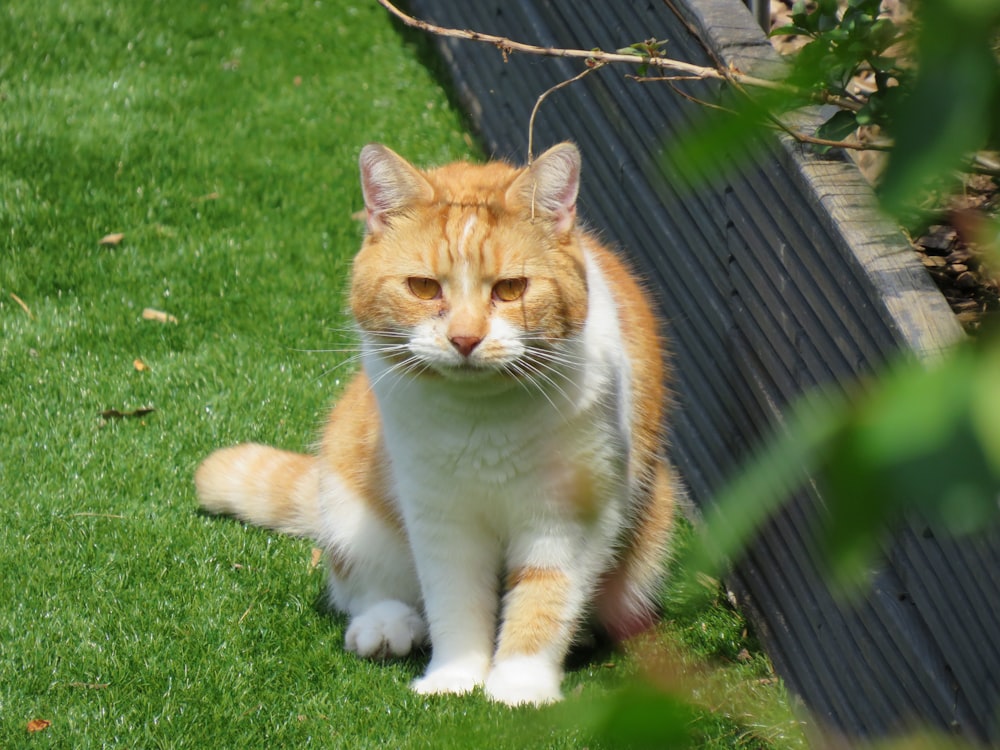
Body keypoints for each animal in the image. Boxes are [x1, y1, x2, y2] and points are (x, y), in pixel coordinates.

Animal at [193, 144, 680, 708]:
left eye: (511, 289)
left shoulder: (568, 518)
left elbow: (545, 595)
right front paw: (454, 679)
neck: (482, 416)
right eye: (423, 287)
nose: (465, 339)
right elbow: (454, 596)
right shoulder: (439, 513)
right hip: (347, 492)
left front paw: (518, 688)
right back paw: (385, 627)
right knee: (359, 583)